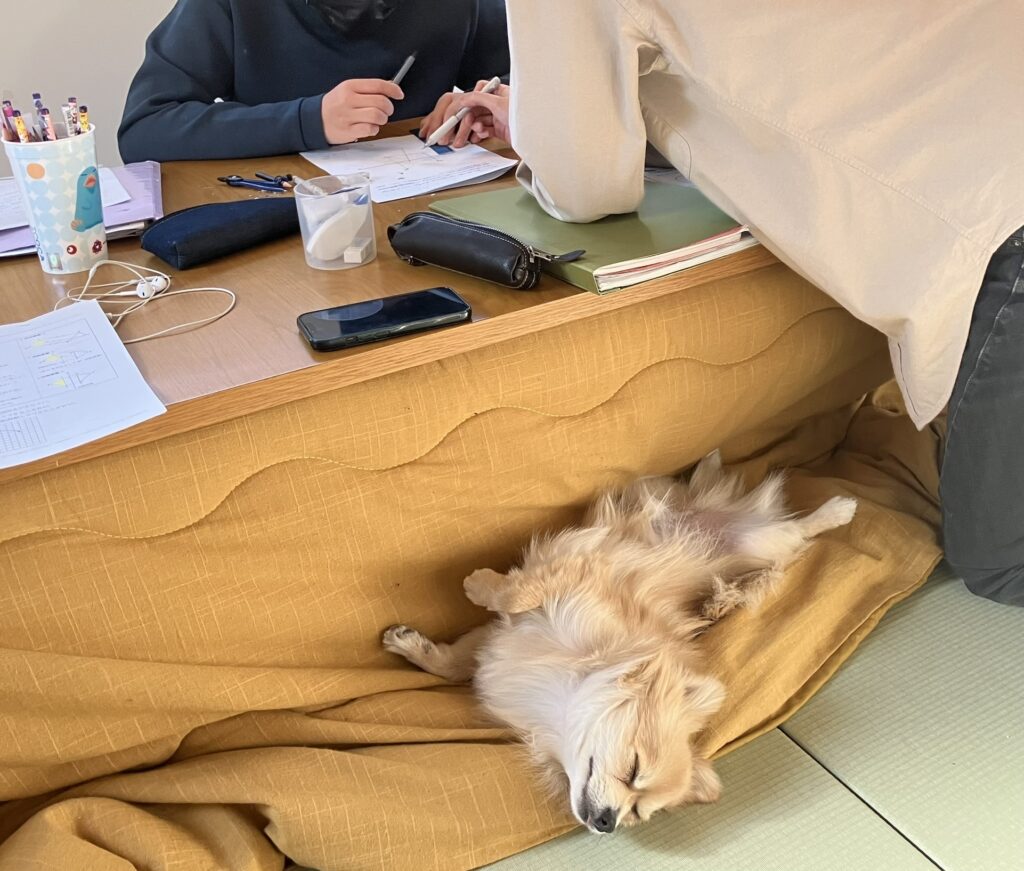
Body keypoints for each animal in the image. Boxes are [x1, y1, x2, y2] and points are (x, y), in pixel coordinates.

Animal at [383, 451, 856, 833]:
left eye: (635, 813)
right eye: (633, 770)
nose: (609, 823)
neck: (557, 693)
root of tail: (727, 524)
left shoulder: (505, 640)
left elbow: (465, 658)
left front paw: (422, 641)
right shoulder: (555, 592)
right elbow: (506, 603)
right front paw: (472, 591)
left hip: (768, 545)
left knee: (801, 531)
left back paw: (835, 512)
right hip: (747, 534)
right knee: (795, 527)